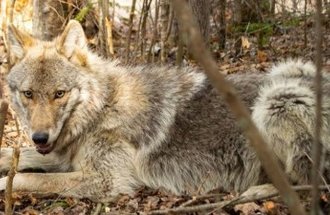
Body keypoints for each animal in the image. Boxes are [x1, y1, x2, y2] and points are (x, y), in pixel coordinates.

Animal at [0, 20, 328, 202]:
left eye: (59, 94)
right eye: (29, 94)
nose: (40, 137)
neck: (103, 107)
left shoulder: (108, 180)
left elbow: (29, 180)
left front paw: (6, 183)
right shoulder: (63, 157)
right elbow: (20, 158)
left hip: (277, 99)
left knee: (312, 184)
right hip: (288, 71)